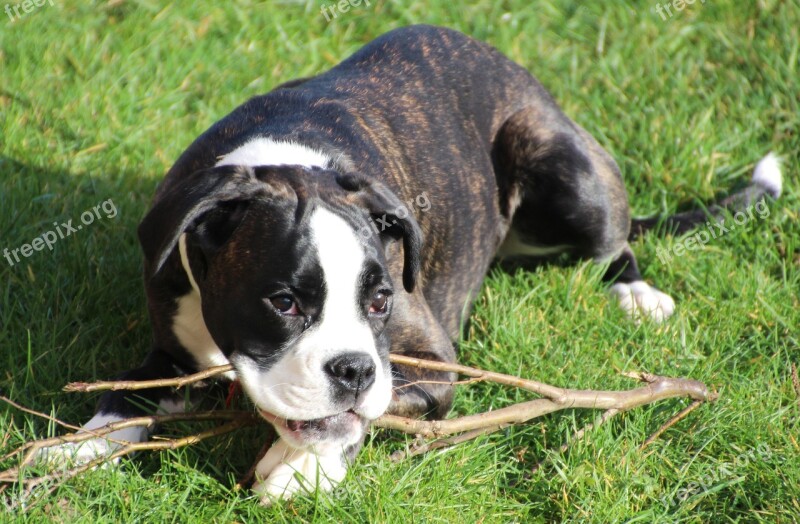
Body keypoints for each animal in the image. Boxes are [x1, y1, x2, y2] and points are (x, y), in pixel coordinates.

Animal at [42, 25, 780, 504]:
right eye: (283, 302)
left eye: (379, 303)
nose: (353, 368)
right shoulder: (172, 347)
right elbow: (124, 396)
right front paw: (71, 449)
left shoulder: (428, 363)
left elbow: (360, 418)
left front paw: (299, 469)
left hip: (561, 166)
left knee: (614, 241)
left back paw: (635, 294)